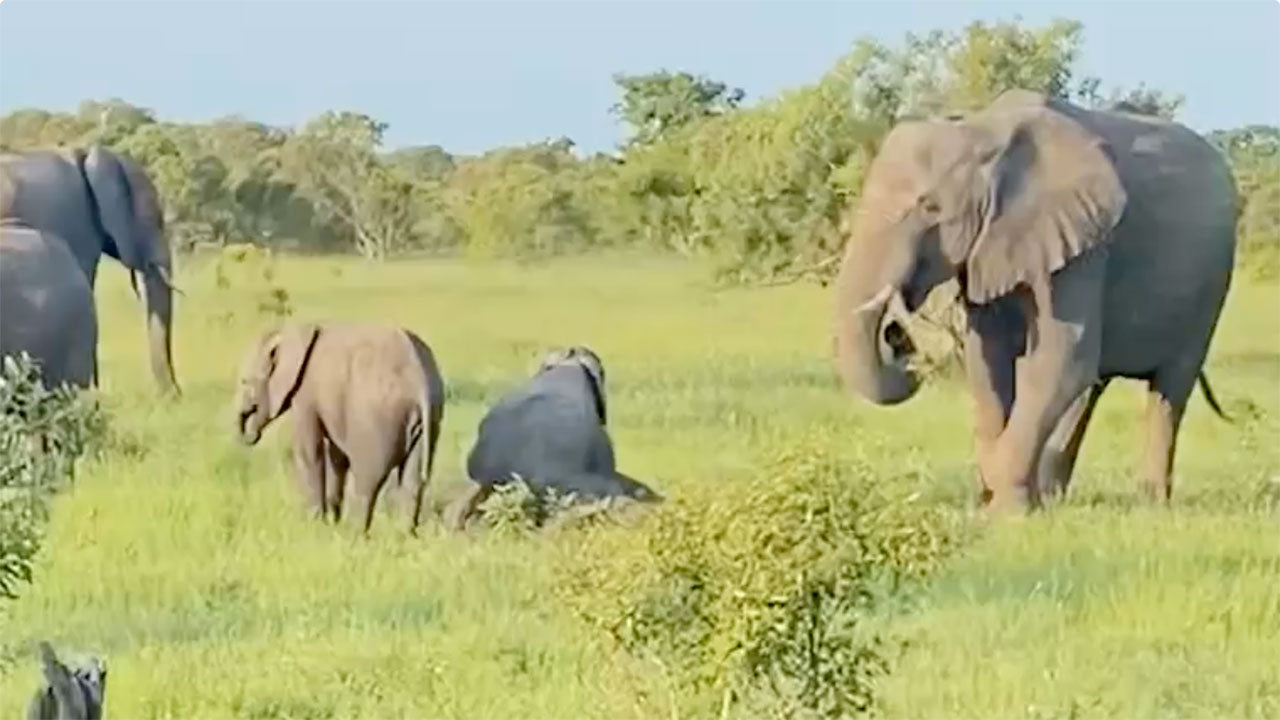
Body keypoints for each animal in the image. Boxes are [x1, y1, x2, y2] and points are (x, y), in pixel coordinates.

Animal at [232, 321, 445, 535]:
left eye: (245, 381)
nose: (250, 435)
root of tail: (420, 381)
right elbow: (337, 456)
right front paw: (332, 523)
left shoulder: (305, 395)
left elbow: (310, 451)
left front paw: (315, 526)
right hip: (428, 419)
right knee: (413, 481)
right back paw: (403, 536)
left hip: (377, 420)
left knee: (368, 481)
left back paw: (356, 534)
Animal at [831, 89, 1236, 512]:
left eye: (930, 208)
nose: (898, 337)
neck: (982, 132)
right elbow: (987, 360)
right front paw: (999, 501)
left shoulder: (1083, 244)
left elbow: (1060, 360)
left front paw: (1007, 511)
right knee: (1092, 389)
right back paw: (1055, 497)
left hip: (1211, 285)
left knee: (1169, 389)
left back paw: (1151, 505)